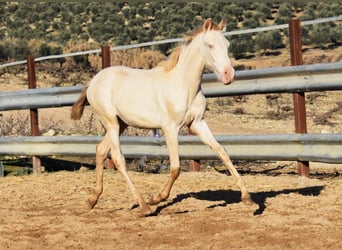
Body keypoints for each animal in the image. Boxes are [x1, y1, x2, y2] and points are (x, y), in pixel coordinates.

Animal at [71, 18, 254, 217]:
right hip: (110, 122)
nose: (229, 75)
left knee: (101, 150)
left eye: (227, 45)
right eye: (210, 45)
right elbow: (175, 168)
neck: (183, 85)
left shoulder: (197, 123)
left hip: (121, 124)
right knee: (118, 159)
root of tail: (93, 81)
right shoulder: (170, 128)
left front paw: (248, 199)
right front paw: (156, 198)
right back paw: (144, 206)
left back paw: (92, 200)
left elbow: (222, 152)